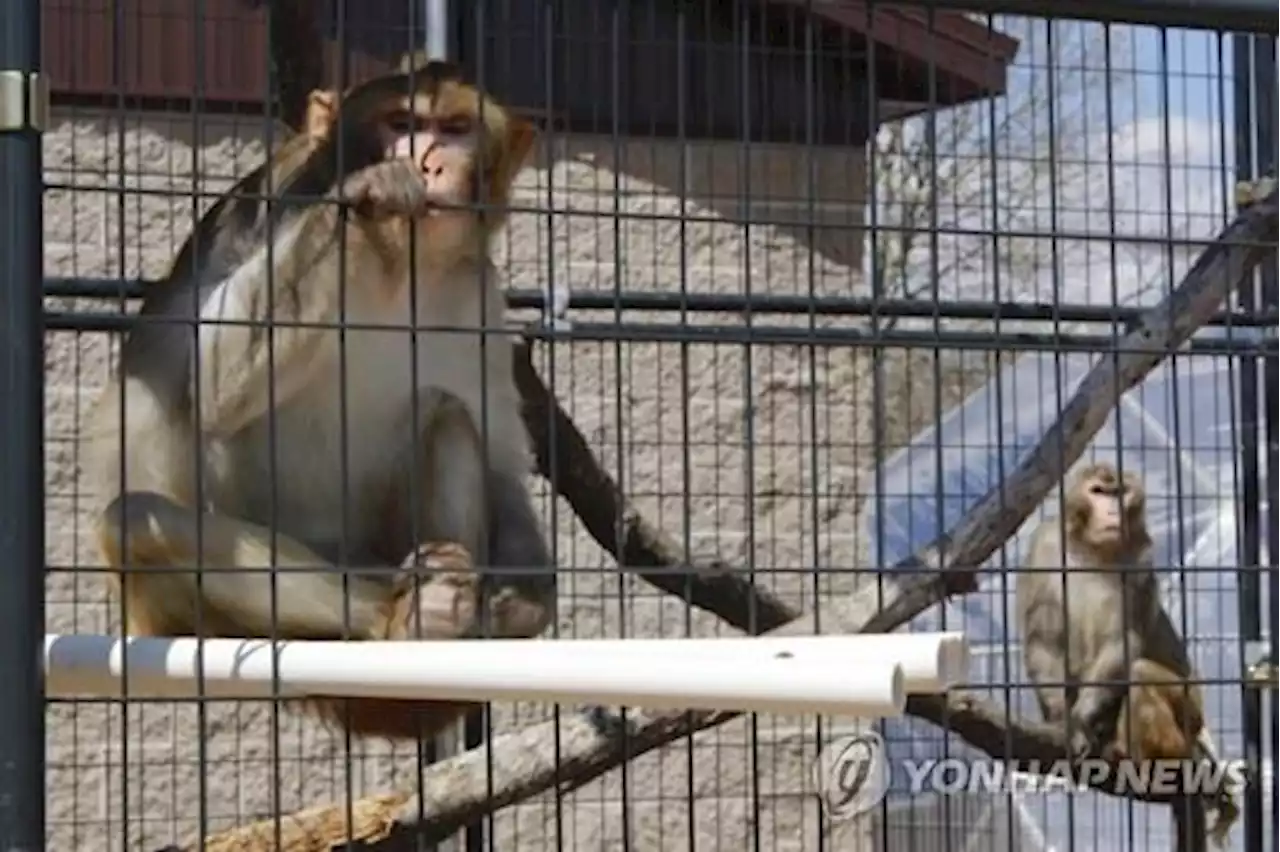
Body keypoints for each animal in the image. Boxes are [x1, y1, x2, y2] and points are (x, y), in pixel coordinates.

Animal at [85, 59, 555, 736]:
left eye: (455, 128)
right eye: (402, 123)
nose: (429, 162)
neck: (398, 260)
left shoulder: (479, 292)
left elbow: (499, 456)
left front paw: (525, 599)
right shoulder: (273, 199)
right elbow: (211, 380)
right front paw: (368, 195)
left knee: (445, 413)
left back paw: (455, 622)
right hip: (189, 615)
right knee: (139, 523)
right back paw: (406, 619)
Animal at [1013, 465, 1233, 844]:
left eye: (1120, 492)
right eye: (1099, 491)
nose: (1113, 511)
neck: (1092, 548)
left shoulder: (1142, 560)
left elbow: (1122, 642)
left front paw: (1080, 720)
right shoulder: (1044, 546)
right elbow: (1044, 640)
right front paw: (1063, 719)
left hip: (1190, 716)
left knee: (1141, 672)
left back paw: (1157, 762)